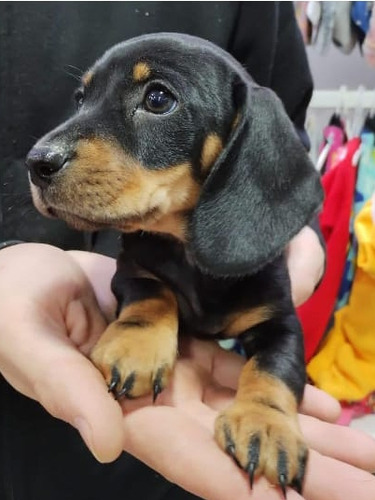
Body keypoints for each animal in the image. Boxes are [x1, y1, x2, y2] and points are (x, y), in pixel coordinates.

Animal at [25, 34, 324, 496]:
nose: (36, 163)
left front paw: (265, 424)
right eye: (80, 98)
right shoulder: (130, 272)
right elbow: (153, 292)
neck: (189, 251)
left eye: (159, 99)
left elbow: (273, 369)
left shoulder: (282, 321)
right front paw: (137, 345)